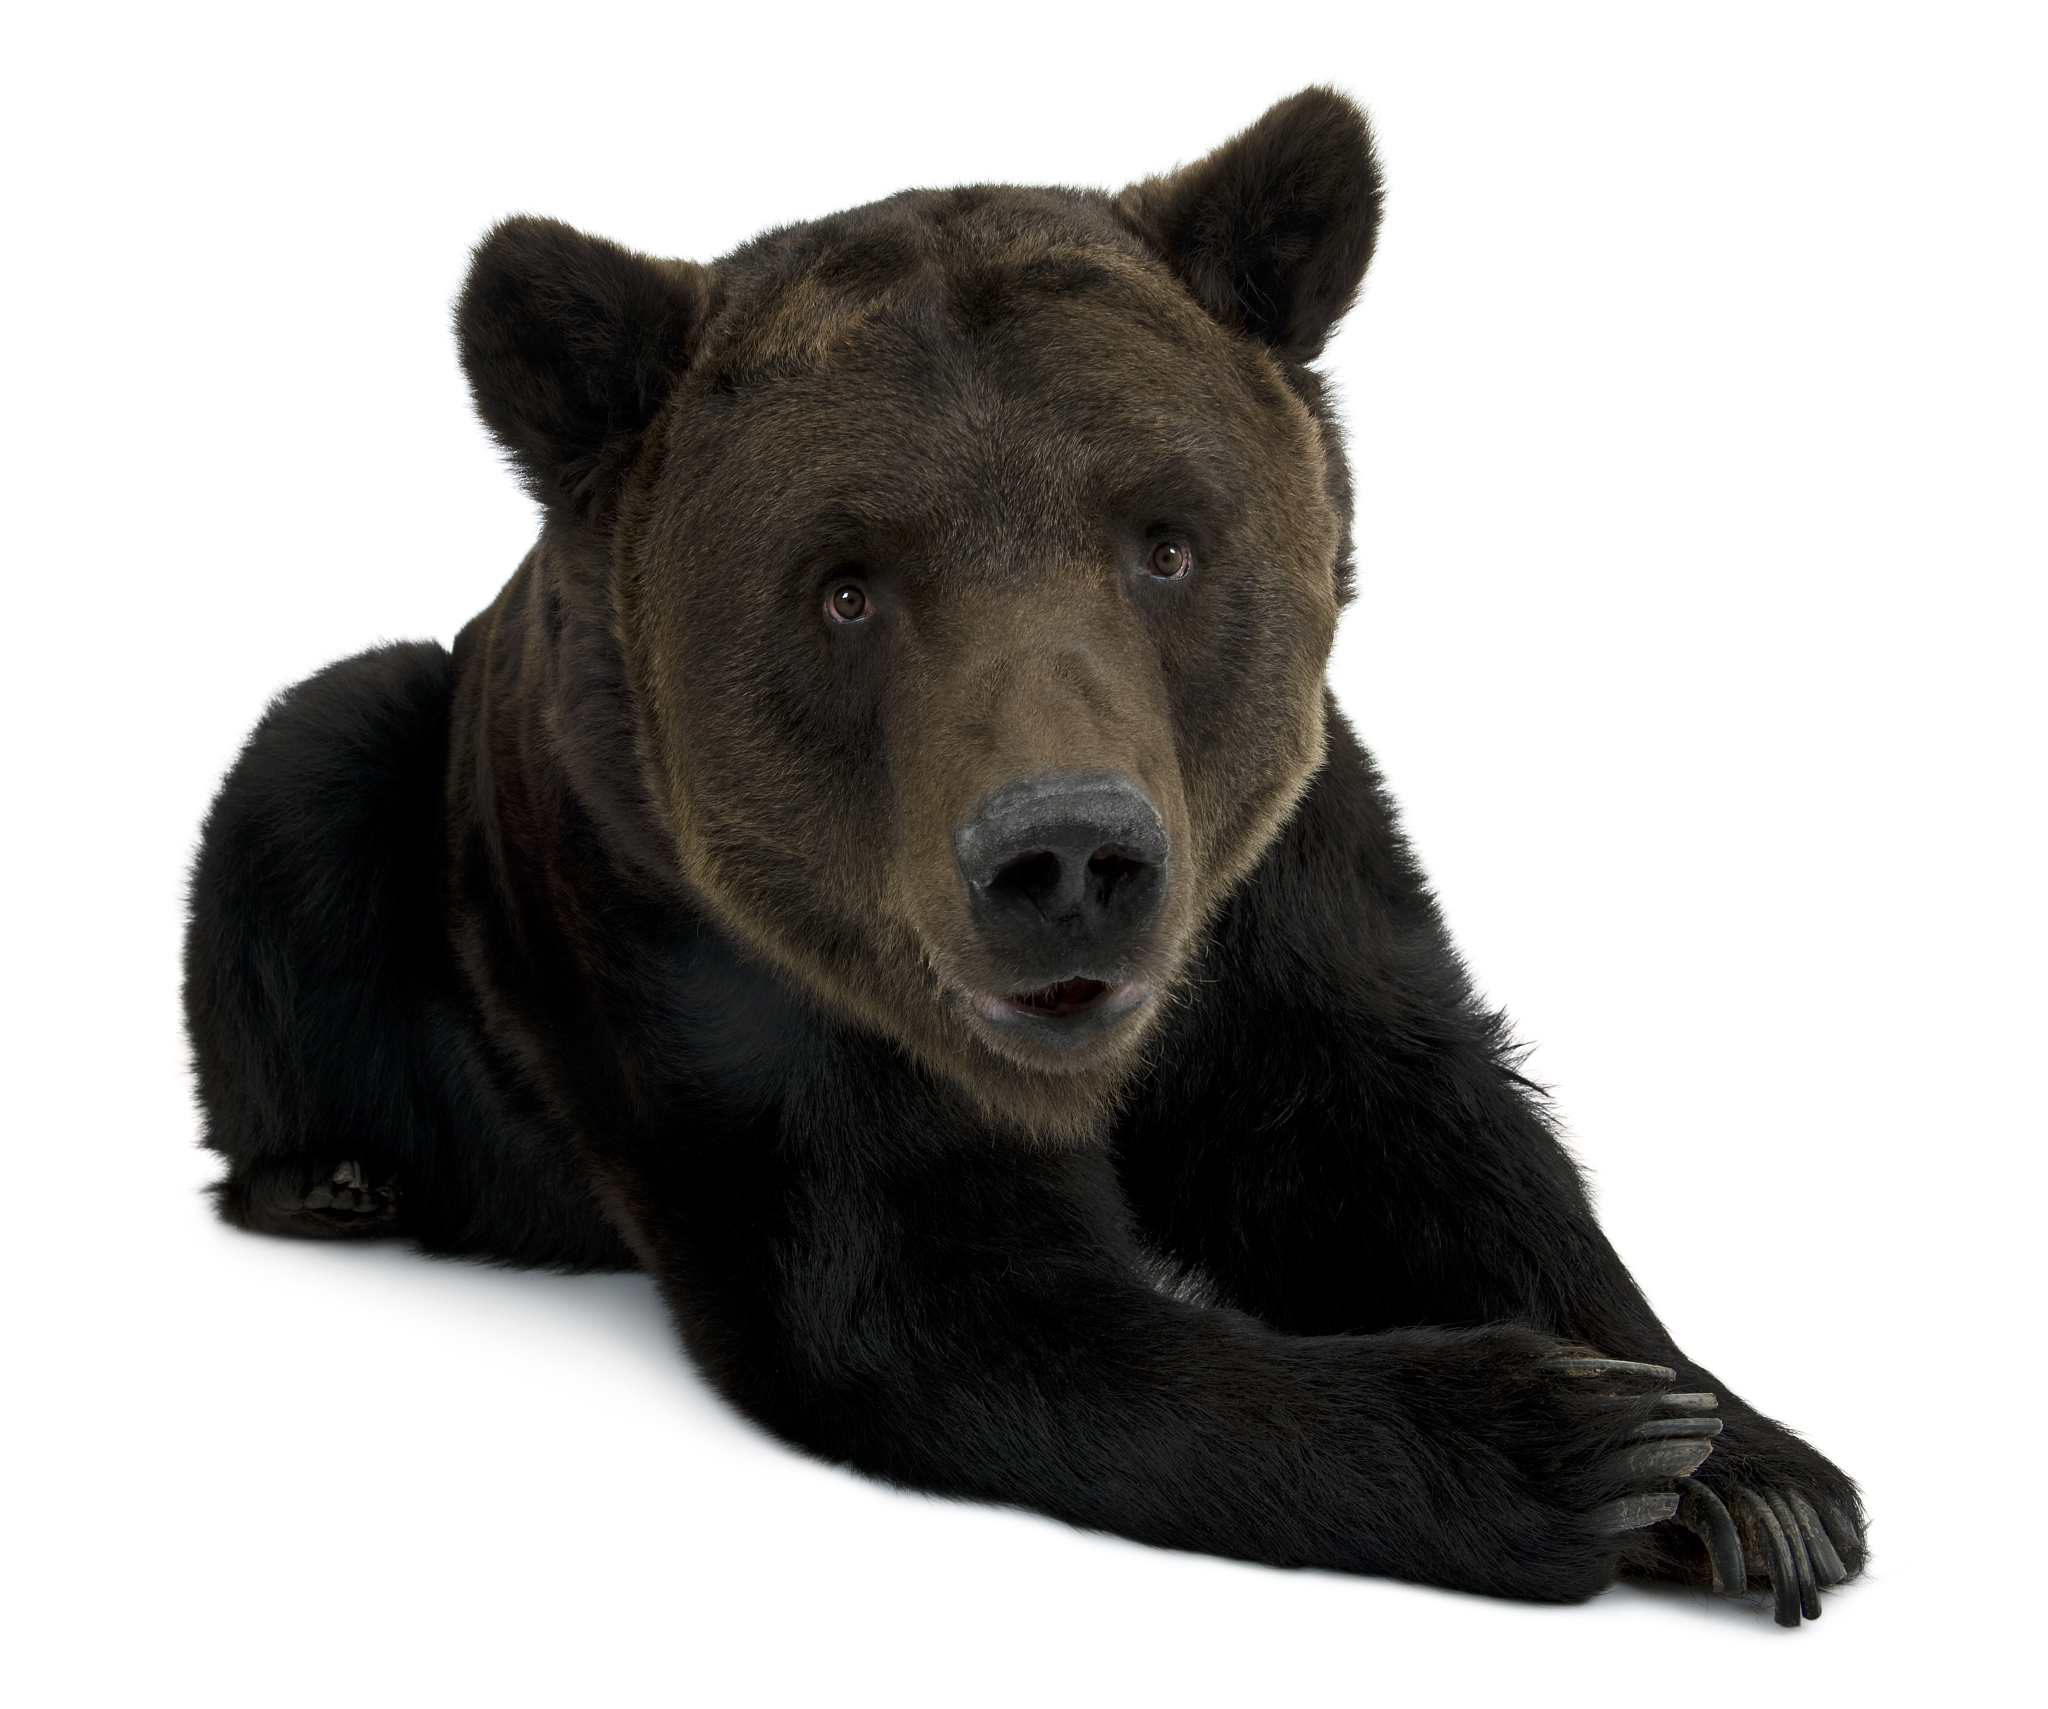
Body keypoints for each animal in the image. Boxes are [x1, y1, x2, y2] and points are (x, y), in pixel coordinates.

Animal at [183, 87, 1863, 1624]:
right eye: (846, 584)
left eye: (1165, 540)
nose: (1062, 855)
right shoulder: (719, 968)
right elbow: (931, 1298)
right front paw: (1566, 1442)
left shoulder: (1280, 893)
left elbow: (1421, 1131)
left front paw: (1741, 1468)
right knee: (312, 762)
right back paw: (334, 1177)